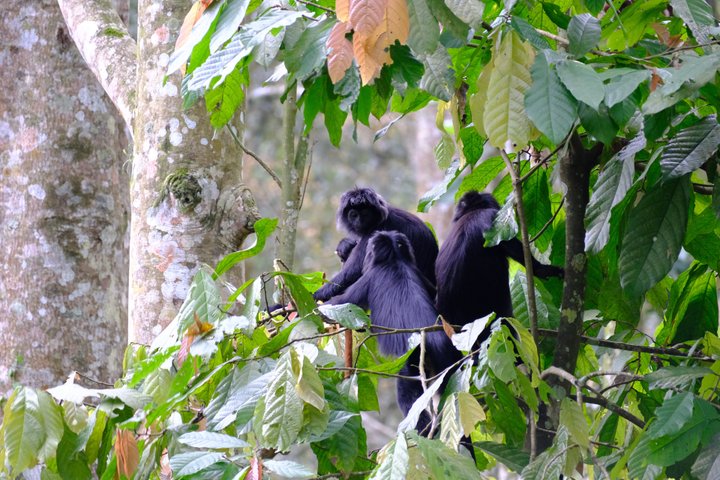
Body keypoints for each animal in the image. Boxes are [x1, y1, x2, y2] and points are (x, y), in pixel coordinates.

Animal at [328, 231, 460, 434]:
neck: (395, 259)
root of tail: (434, 337)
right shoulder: (418, 273)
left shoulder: (369, 279)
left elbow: (339, 305)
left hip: (414, 357)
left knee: (407, 395)